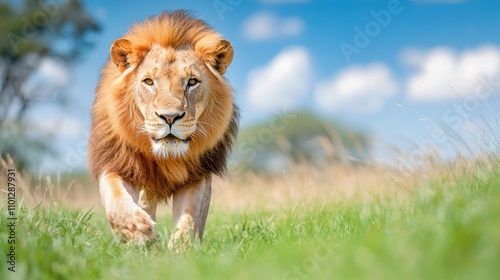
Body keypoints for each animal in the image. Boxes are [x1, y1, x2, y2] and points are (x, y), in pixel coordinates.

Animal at [88, 10, 238, 247]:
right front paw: (137, 231)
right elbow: (116, 200)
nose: (170, 117)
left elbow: (191, 215)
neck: (164, 156)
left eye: (192, 82)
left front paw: (181, 248)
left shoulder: (199, 173)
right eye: (149, 81)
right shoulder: (115, 161)